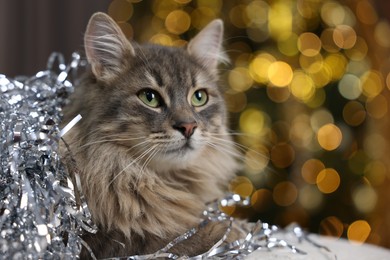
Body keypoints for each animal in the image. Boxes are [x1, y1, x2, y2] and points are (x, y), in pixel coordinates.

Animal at [61, 12, 241, 258]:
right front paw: (235, 230)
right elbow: (175, 237)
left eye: (199, 97)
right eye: (150, 97)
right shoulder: (99, 239)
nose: (188, 127)